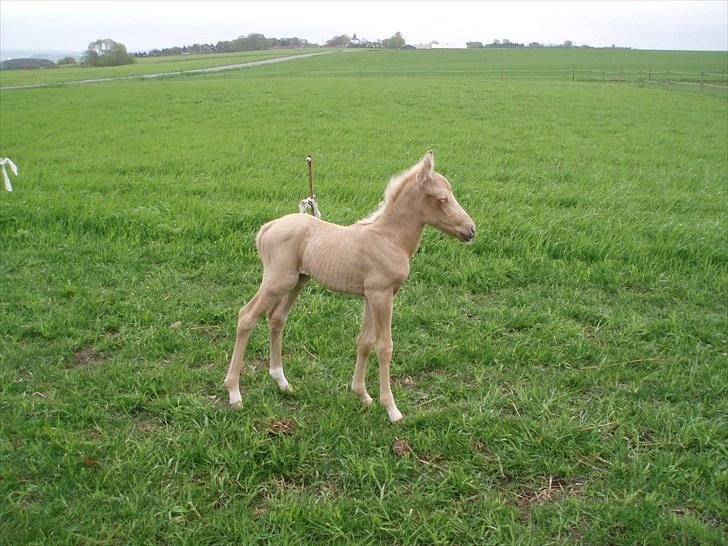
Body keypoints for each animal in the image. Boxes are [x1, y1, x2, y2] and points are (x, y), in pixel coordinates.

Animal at [225, 150, 480, 420]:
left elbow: (365, 341)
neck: (390, 239)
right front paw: (391, 409)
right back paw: (234, 393)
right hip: (277, 281)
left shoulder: (371, 296)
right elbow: (385, 346)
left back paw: (282, 382)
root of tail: (268, 227)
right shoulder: (382, 295)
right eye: (442, 199)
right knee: (247, 316)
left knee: (276, 318)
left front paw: (362, 395)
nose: (471, 229)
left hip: (298, 281)